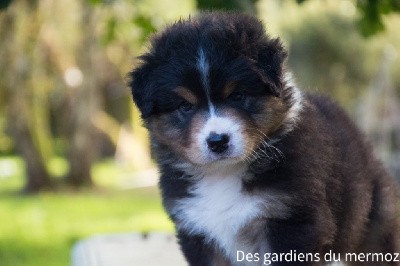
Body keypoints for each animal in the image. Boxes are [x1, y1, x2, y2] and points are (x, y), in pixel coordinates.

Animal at [130, 11, 398, 264]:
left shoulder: (294, 223)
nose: (218, 141)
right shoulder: (197, 232)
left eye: (237, 95)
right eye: (185, 106)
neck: (223, 174)